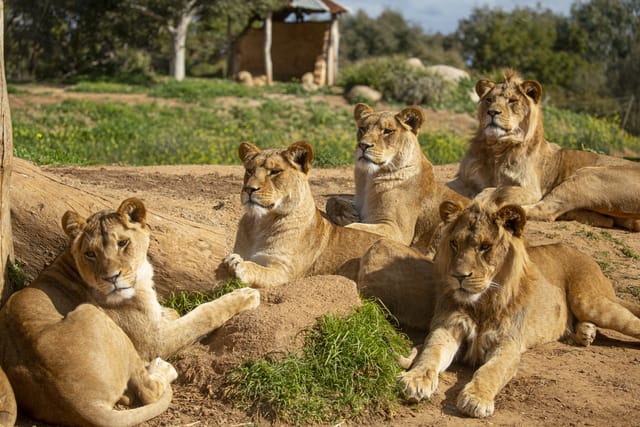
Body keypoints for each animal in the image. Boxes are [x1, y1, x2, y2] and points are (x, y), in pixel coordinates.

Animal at [0, 199, 260, 426]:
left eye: (123, 243)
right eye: (90, 253)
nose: (111, 278)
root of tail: (76, 402)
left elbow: (172, 313)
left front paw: (168, 312)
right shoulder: (155, 340)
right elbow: (203, 314)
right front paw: (246, 295)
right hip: (94, 316)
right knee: (148, 392)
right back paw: (162, 369)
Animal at [220, 142, 382, 290]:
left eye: (274, 172)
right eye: (249, 170)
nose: (248, 189)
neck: (259, 224)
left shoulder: (284, 272)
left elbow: (257, 269)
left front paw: (238, 263)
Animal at [324, 103, 470, 258]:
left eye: (387, 131)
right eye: (363, 128)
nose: (363, 145)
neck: (368, 179)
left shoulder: (396, 229)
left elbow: (354, 229)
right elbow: (331, 200)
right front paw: (347, 215)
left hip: (445, 224)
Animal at [398, 200, 640, 418]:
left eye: (485, 247)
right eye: (454, 244)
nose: (458, 276)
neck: (483, 303)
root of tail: (576, 249)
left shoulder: (509, 343)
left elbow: (491, 371)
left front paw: (477, 398)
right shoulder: (448, 327)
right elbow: (430, 352)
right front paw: (416, 379)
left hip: (590, 302)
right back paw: (585, 333)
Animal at [448, 69, 640, 232]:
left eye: (512, 101)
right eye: (489, 100)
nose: (492, 112)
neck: (497, 149)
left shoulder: (532, 189)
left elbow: (497, 189)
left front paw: (483, 198)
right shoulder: (465, 177)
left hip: (587, 175)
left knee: (545, 209)